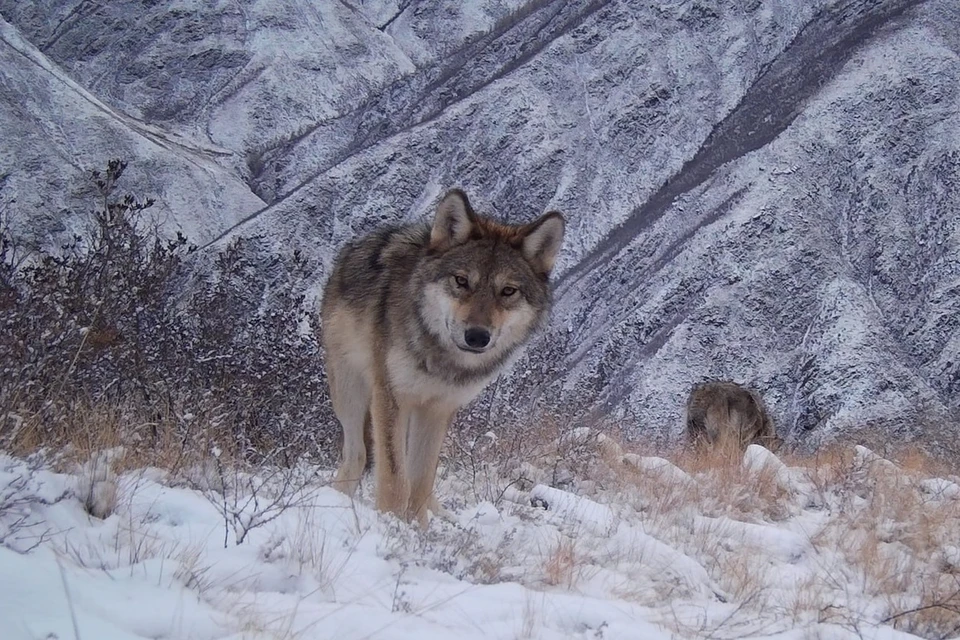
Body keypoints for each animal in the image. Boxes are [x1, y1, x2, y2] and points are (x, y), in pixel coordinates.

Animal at [318, 189, 568, 524]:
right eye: (461, 281)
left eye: (508, 291)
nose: (477, 336)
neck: (441, 361)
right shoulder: (391, 396)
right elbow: (396, 477)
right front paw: (390, 524)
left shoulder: (438, 409)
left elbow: (421, 480)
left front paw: (416, 528)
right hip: (350, 392)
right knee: (357, 455)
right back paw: (337, 500)